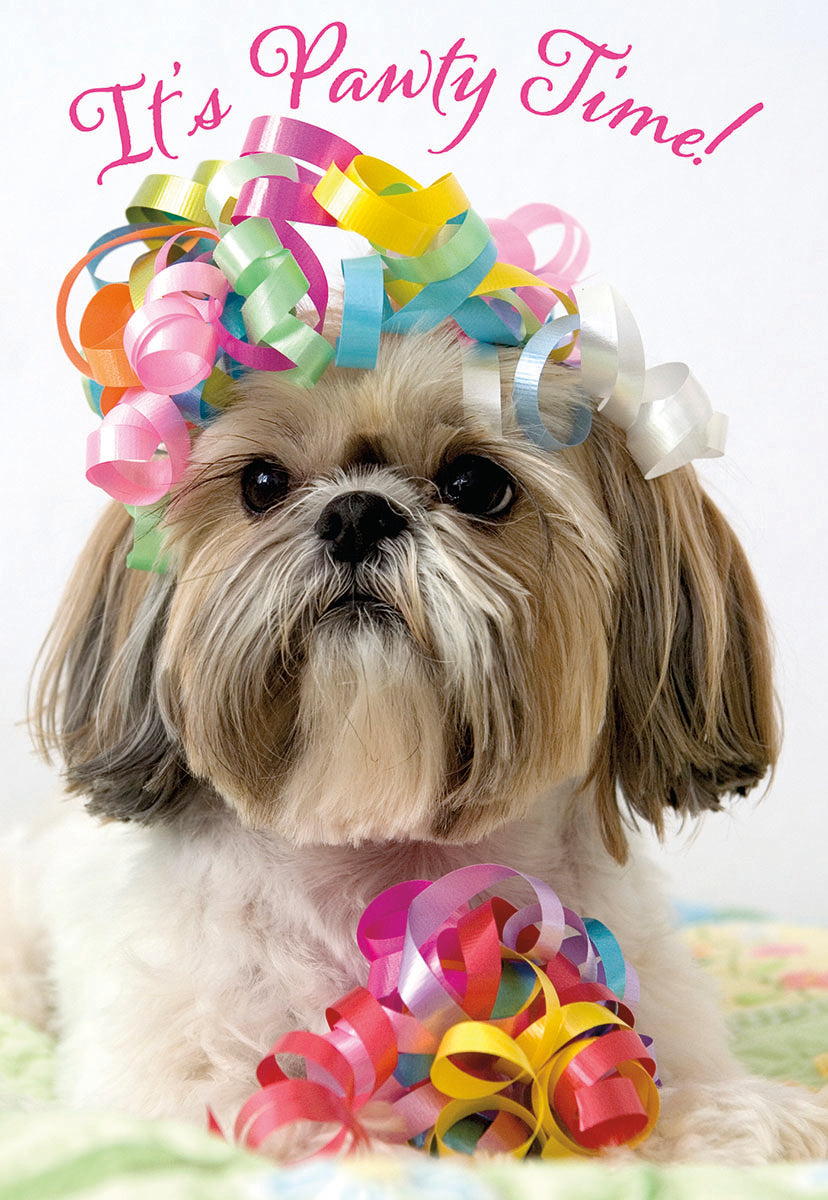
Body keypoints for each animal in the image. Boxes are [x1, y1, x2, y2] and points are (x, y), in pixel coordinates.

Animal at [1, 331, 825, 1161]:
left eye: (476, 484)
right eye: (262, 483)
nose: (356, 513)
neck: (394, 865)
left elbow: (671, 1111)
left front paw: (753, 1120)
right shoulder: (177, 1082)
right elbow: (296, 1119)